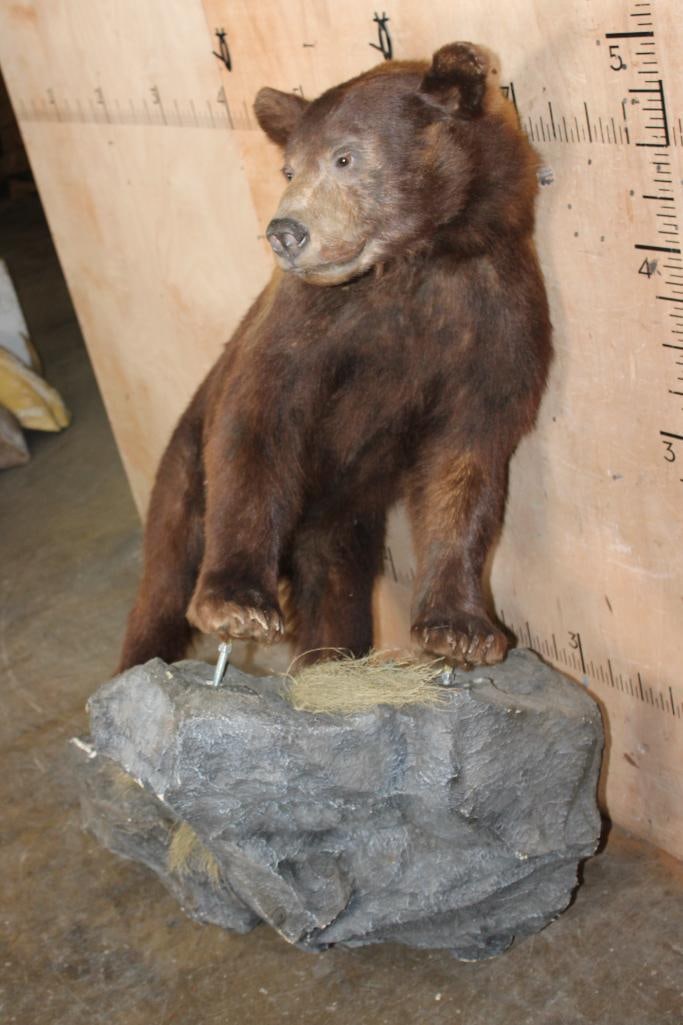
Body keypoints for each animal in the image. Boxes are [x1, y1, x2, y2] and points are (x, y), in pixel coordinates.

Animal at [119, 41, 551, 674]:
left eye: (345, 157)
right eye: (289, 168)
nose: (285, 232)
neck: (417, 259)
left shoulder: (494, 321)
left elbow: (465, 460)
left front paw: (461, 630)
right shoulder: (312, 324)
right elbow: (258, 418)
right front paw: (237, 602)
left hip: (340, 526)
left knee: (337, 601)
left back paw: (327, 660)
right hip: (184, 467)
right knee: (165, 578)